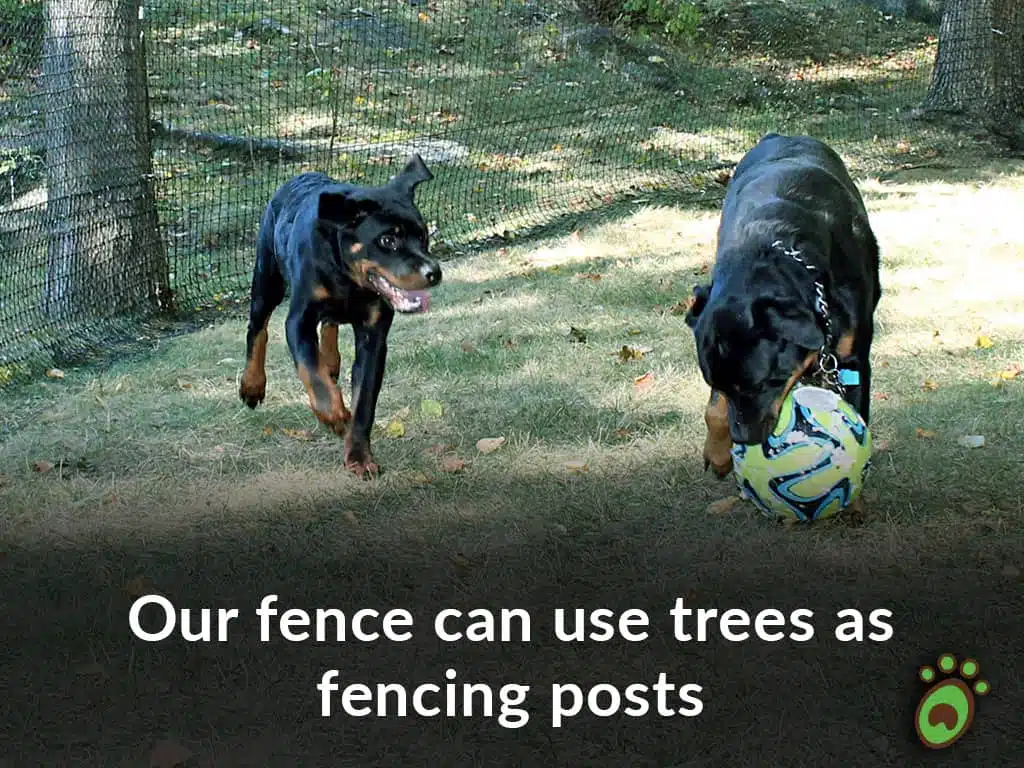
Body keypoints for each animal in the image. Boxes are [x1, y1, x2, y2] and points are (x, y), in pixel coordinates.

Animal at [237, 154, 442, 479]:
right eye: (388, 240)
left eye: (422, 236)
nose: (433, 272)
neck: (349, 281)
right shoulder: (298, 320)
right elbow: (312, 372)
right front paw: (334, 414)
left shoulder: (374, 336)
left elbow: (364, 404)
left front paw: (359, 458)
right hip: (267, 280)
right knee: (258, 328)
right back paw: (252, 385)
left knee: (330, 325)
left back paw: (331, 361)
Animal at [679, 135, 880, 479]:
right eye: (717, 384)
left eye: (762, 384)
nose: (744, 439)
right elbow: (714, 409)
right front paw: (718, 452)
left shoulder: (851, 360)